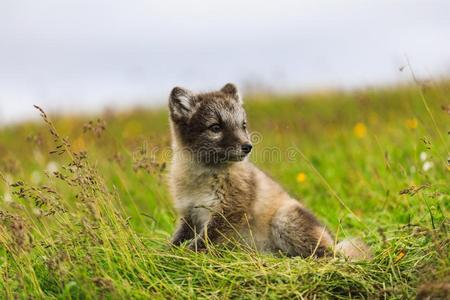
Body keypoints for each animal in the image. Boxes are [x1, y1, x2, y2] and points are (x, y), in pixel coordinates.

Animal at [167, 83, 370, 258]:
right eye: (215, 127)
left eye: (243, 125)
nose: (247, 147)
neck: (202, 175)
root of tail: (334, 243)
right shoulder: (189, 214)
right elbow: (176, 240)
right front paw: (167, 253)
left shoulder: (229, 213)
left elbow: (202, 242)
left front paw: (183, 256)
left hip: (284, 218)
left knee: (326, 255)